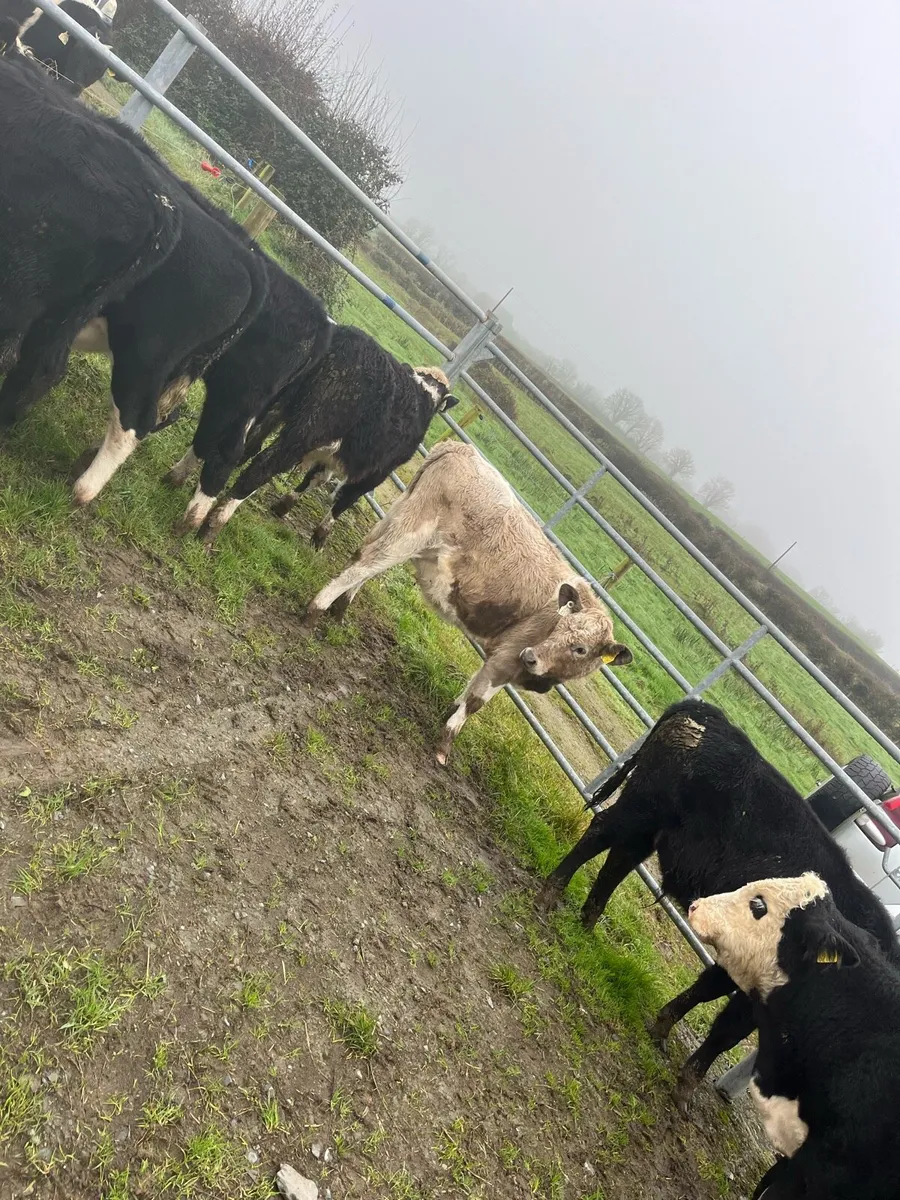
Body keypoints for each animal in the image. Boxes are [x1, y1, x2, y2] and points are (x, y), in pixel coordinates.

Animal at [189, 326, 460, 541]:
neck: (423, 394)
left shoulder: (334, 450)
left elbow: (316, 477)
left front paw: (285, 504)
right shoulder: (375, 472)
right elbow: (344, 499)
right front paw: (321, 534)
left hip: (272, 408)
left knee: (239, 445)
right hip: (305, 430)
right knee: (262, 465)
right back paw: (213, 524)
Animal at [302, 440, 633, 763]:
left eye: (580, 649)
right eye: (560, 628)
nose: (531, 657)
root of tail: (460, 447)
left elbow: (468, 690)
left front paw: (450, 711)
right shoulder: (506, 658)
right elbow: (474, 702)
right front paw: (444, 745)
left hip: (401, 523)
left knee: (364, 562)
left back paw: (339, 613)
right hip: (410, 533)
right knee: (363, 566)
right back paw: (314, 611)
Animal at [535, 699, 900, 1109]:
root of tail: (712, 715)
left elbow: (705, 990)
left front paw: (660, 1028)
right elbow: (726, 1031)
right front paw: (685, 1087)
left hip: (649, 827)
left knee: (618, 861)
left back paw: (586, 922)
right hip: (642, 807)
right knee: (600, 834)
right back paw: (550, 894)